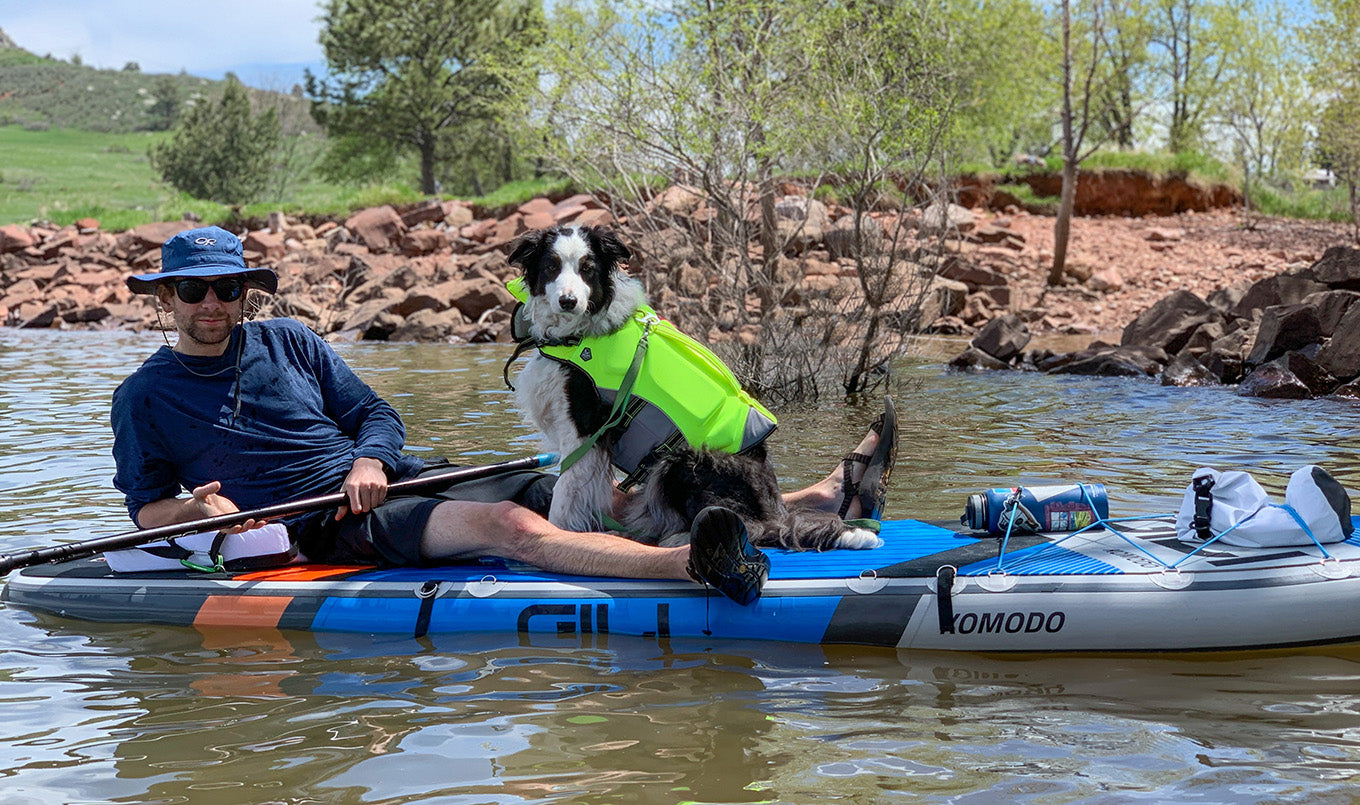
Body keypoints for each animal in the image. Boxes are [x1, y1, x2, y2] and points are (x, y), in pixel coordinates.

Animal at [511, 225, 881, 554]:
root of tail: (774, 510)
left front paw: (558, 531)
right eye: (551, 266)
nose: (568, 301)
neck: (578, 335)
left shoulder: (584, 431)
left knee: (745, 526)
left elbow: (565, 494)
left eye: (587, 268)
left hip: (678, 460)